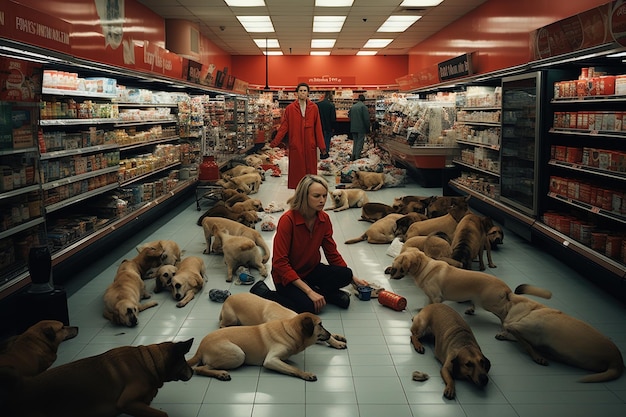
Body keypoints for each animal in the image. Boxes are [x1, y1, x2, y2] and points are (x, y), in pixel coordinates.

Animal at [0, 338, 193, 416]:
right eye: (184, 362)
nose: (192, 371)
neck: (147, 362)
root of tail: (20, 386)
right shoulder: (127, 402)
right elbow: (163, 414)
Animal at [185, 312, 330, 380]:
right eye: (320, 325)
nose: (329, 334)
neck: (291, 331)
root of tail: (200, 347)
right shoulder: (271, 360)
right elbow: (294, 369)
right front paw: (306, 374)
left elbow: (289, 365)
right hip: (238, 355)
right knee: (199, 369)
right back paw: (220, 373)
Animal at [218, 292, 346, 348]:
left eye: (321, 324)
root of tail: (227, 300)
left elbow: (328, 336)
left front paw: (336, 339)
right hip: (232, 318)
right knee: (222, 325)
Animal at [388, 247, 516, 322]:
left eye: (396, 263)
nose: (390, 272)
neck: (424, 267)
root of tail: (506, 287)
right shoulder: (430, 296)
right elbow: (427, 305)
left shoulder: (437, 297)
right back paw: (470, 310)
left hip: (488, 303)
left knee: (505, 312)